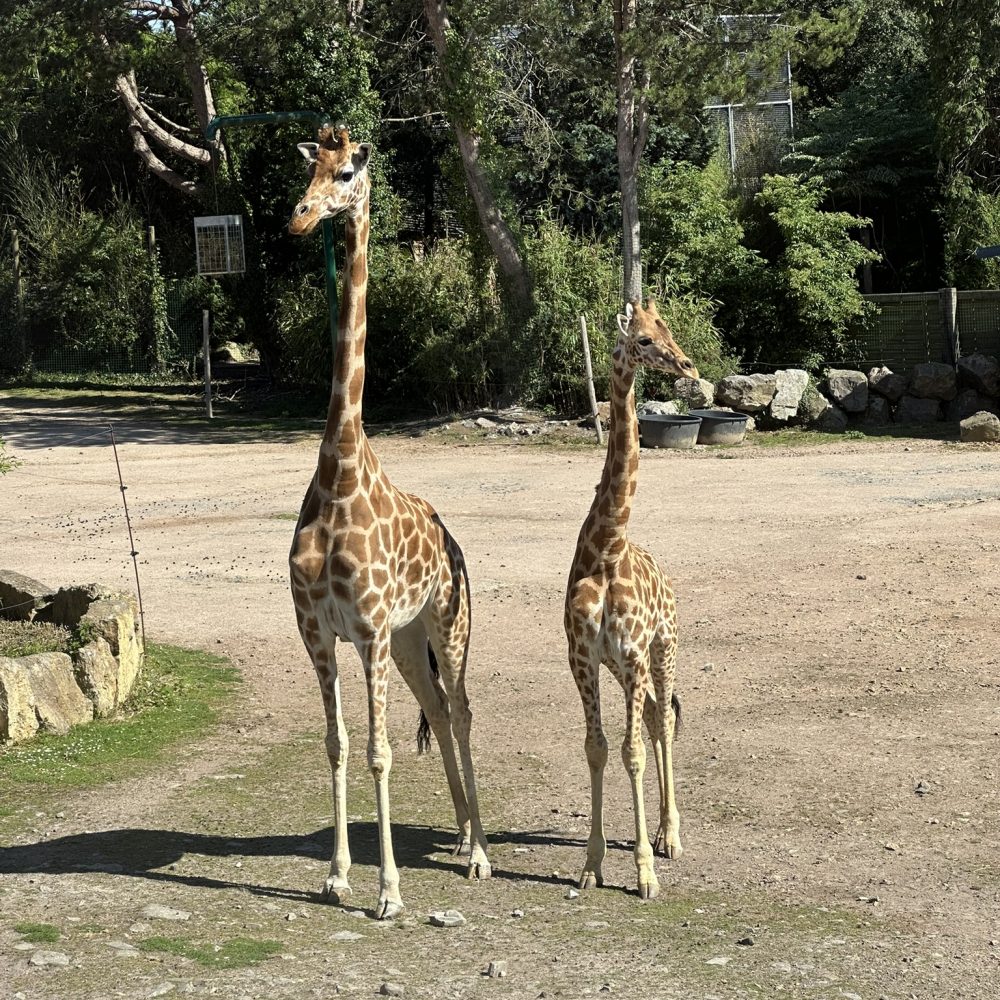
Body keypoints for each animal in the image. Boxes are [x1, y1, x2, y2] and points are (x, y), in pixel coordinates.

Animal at [287, 125, 490, 919]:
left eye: (346, 172)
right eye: (307, 170)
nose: (301, 217)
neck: (341, 473)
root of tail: (450, 536)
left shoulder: (368, 630)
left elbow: (379, 751)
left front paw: (389, 891)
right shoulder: (321, 632)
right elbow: (338, 744)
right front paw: (339, 876)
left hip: (443, 623)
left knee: (459, 709)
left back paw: (481, 853)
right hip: (409, 642)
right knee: (435, 704)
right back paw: (461, 837)